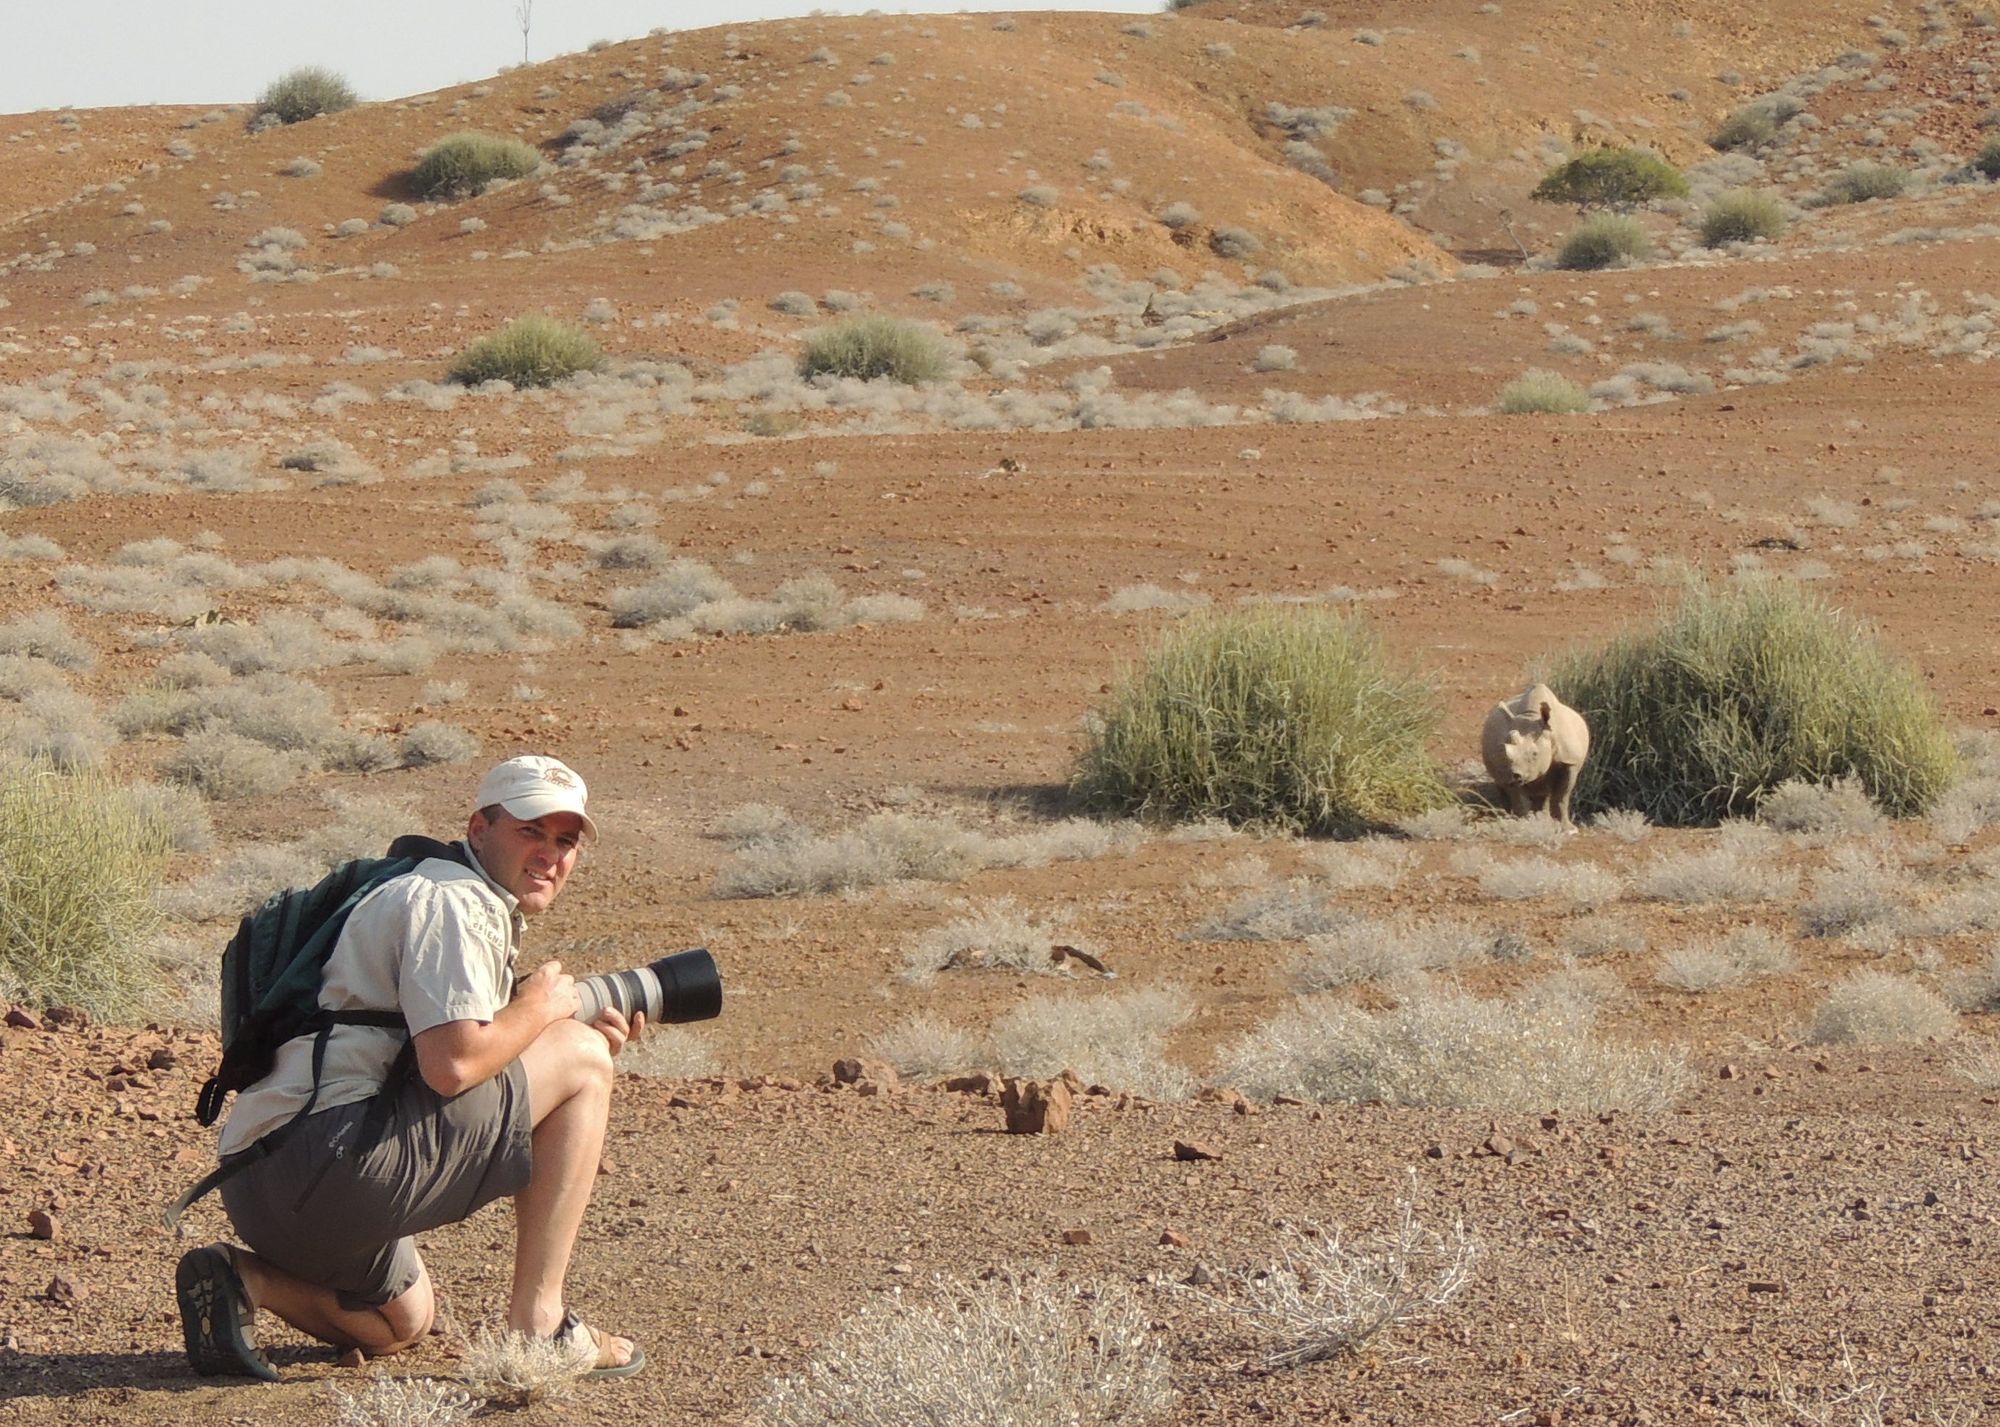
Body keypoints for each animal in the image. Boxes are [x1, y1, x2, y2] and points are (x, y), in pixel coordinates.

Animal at [1480, 683, 1591, 828]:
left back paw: (1543, 820)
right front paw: (1523, 824)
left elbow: (1562, 796)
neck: (1532, 716)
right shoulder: (1508, 773)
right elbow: (1519, 799)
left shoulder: (1570, 760)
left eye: (1535, 754)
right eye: (1505, 751)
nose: (1516, 775)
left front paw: (1568, 829)